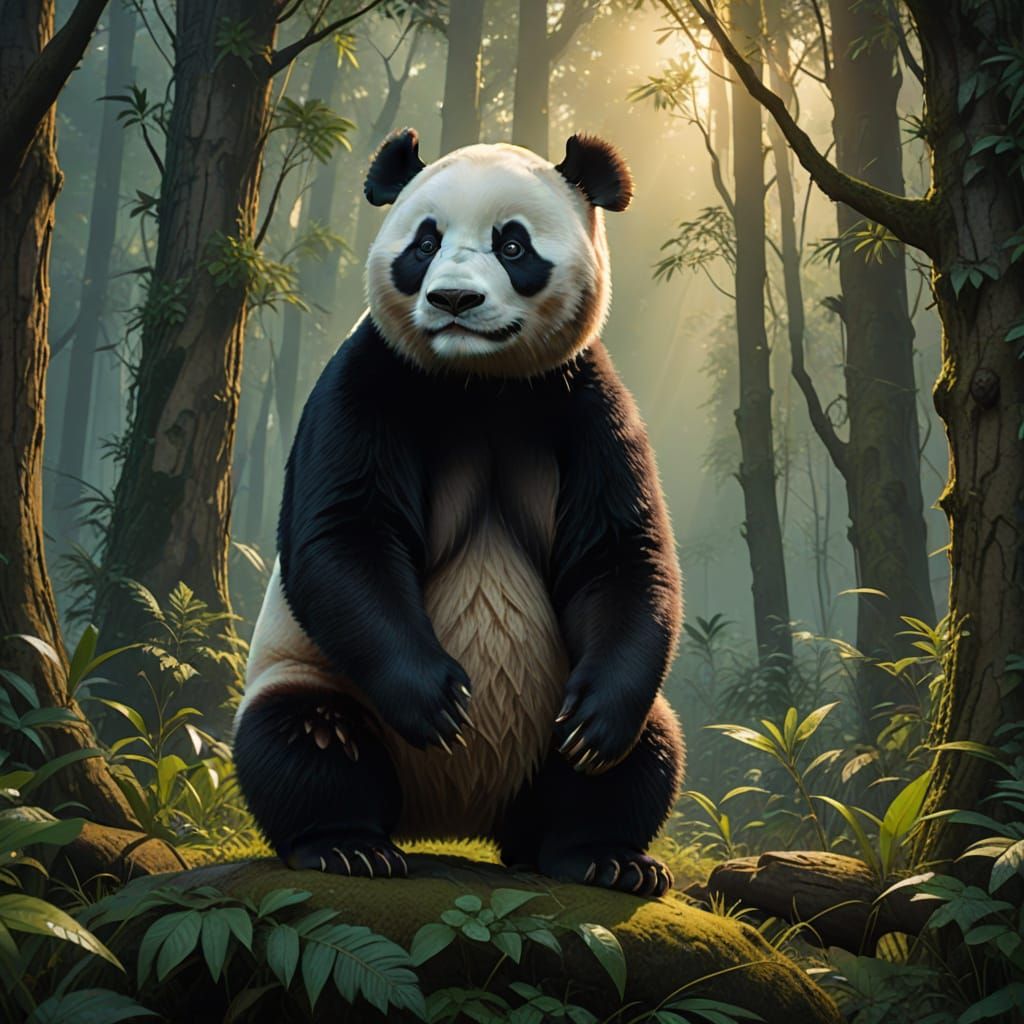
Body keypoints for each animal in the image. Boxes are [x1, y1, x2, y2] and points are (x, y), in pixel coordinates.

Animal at [233, 129, 684, 897]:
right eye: (424, 242)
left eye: (513, 245)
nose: (453, 299)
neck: (479, 380)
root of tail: (453, 816)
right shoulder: (371, 378)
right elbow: (346, 536)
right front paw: (439, 701)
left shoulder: (583, 400)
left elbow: (620, 551)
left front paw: (595, 727)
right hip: (310, 674)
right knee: (301, 739)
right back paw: (348, 846)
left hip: (558, 728)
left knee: (641, 754)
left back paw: (601, 856)